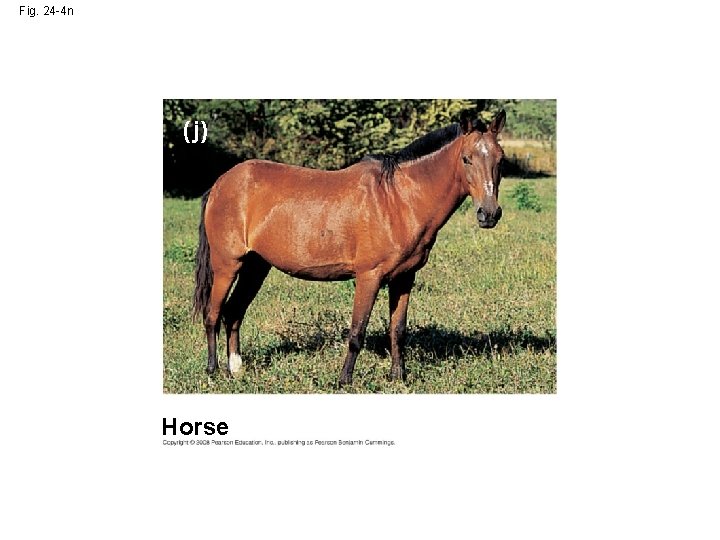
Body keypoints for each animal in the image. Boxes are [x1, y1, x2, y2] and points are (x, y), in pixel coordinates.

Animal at [193, 110, 506, 386]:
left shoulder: (404, 277)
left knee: (234, 313)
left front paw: (398, 377)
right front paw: (344, 380)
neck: (397, 200)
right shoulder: (369, 277)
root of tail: (221, 183)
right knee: (213, 314)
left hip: (256, 266)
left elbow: (398, 330)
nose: (489, 214)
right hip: (227, 265)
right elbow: (357, 333)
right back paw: (212, 370)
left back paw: (236, 368)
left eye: (500, 160)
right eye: (466, 159)